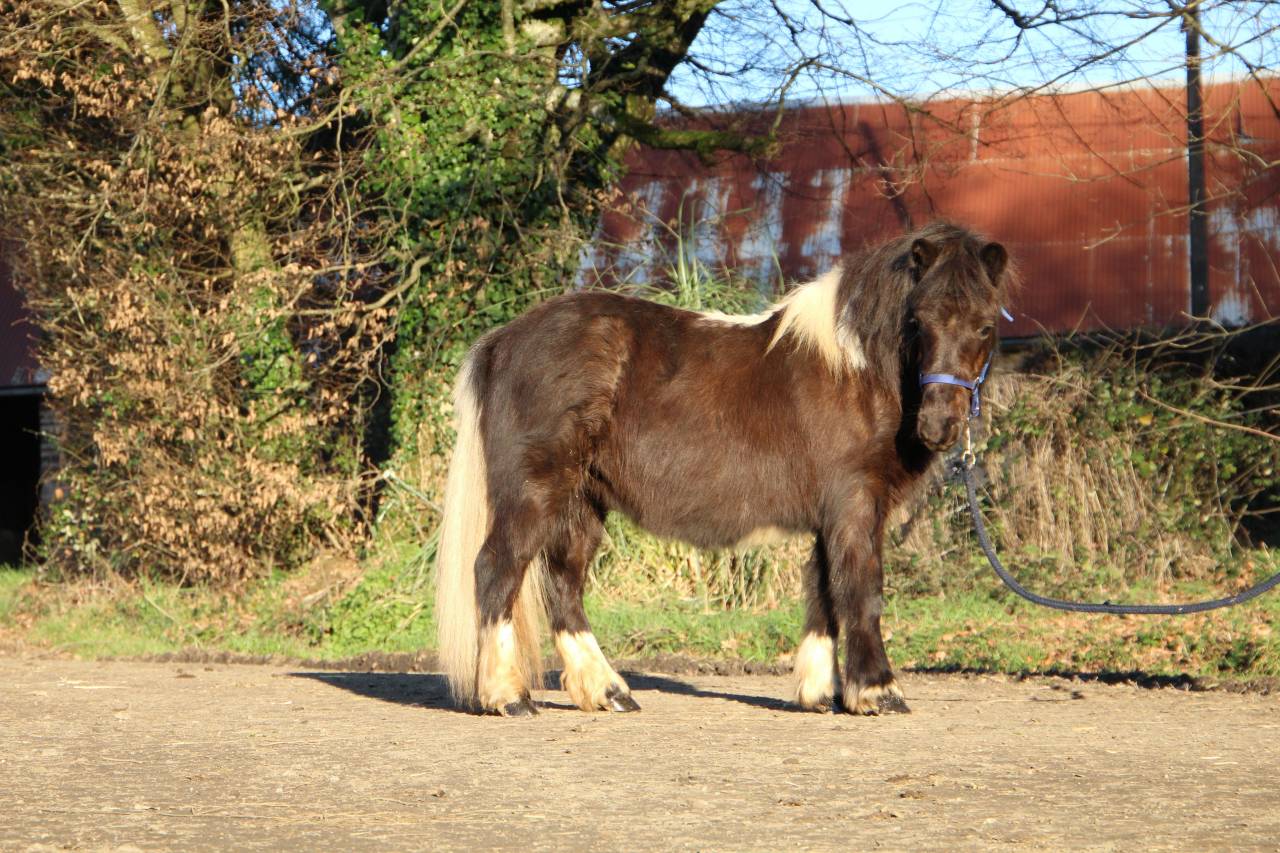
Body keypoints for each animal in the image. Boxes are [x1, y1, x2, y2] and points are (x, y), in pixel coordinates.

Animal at [434, 221, 1014, 716]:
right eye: (918, 321)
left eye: (985, 326)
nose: (939, 425)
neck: (856, 371)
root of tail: (501, 343)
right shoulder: (855, 504)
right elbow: (862, 589)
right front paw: (878, 691)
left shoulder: (831, 514)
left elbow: (824, 591)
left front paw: (820, 692)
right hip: (535, 492)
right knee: (498, 571)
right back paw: (508, 696)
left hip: (581, 501)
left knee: (563, 585)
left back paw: (608, 690)